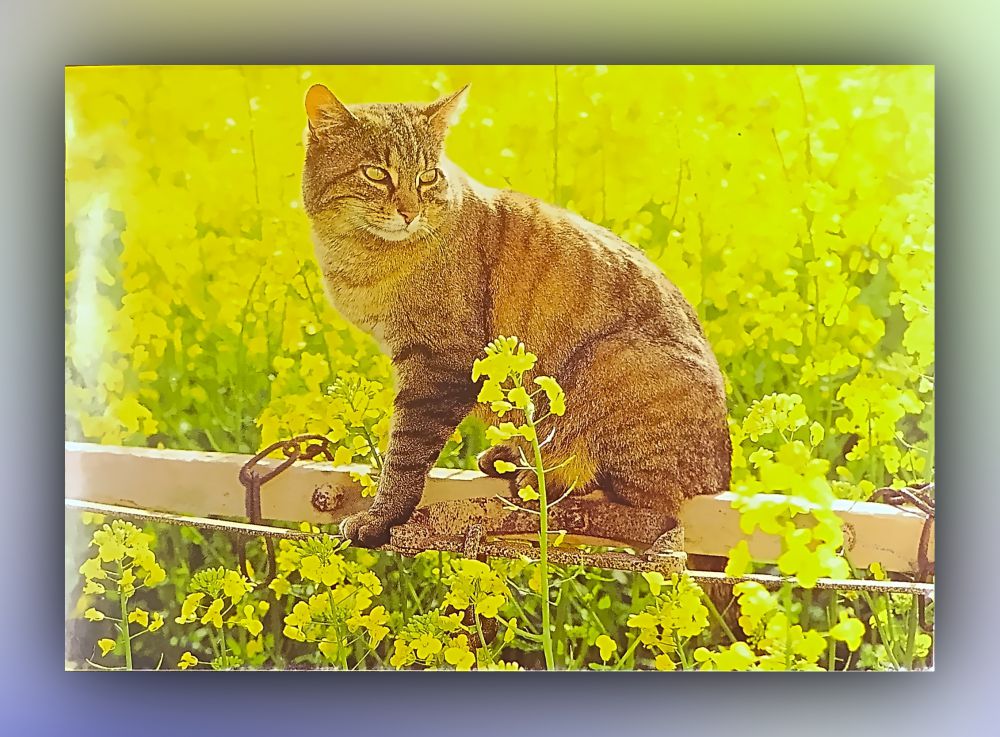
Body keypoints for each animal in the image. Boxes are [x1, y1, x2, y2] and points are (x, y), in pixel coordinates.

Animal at [300, 85, 732, 548]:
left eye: (427, 177)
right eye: (377, 174)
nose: (409, 211)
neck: (359, 254)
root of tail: (719, 474)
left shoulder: (438, 366)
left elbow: (405, 453)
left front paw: (381, 517)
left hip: (610, 364)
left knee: (656, 516)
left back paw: (553, 504)